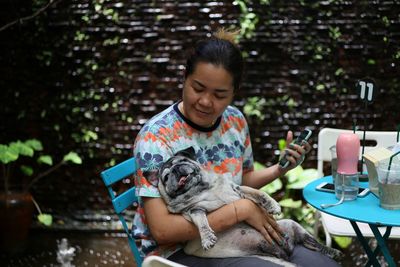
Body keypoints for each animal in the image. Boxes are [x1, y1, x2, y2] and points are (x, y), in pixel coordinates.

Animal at [155, 148, 342, 266]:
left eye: (183, 161)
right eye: (166, 177)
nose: (176, 169)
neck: (203, 188)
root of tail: (285, 252)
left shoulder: (238, 189)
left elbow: (258, 193)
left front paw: (272, 205)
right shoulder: (194, 211)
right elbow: (201, 222)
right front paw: (207, 238)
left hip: (291, 225)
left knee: (312, 243)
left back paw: (333, 252)